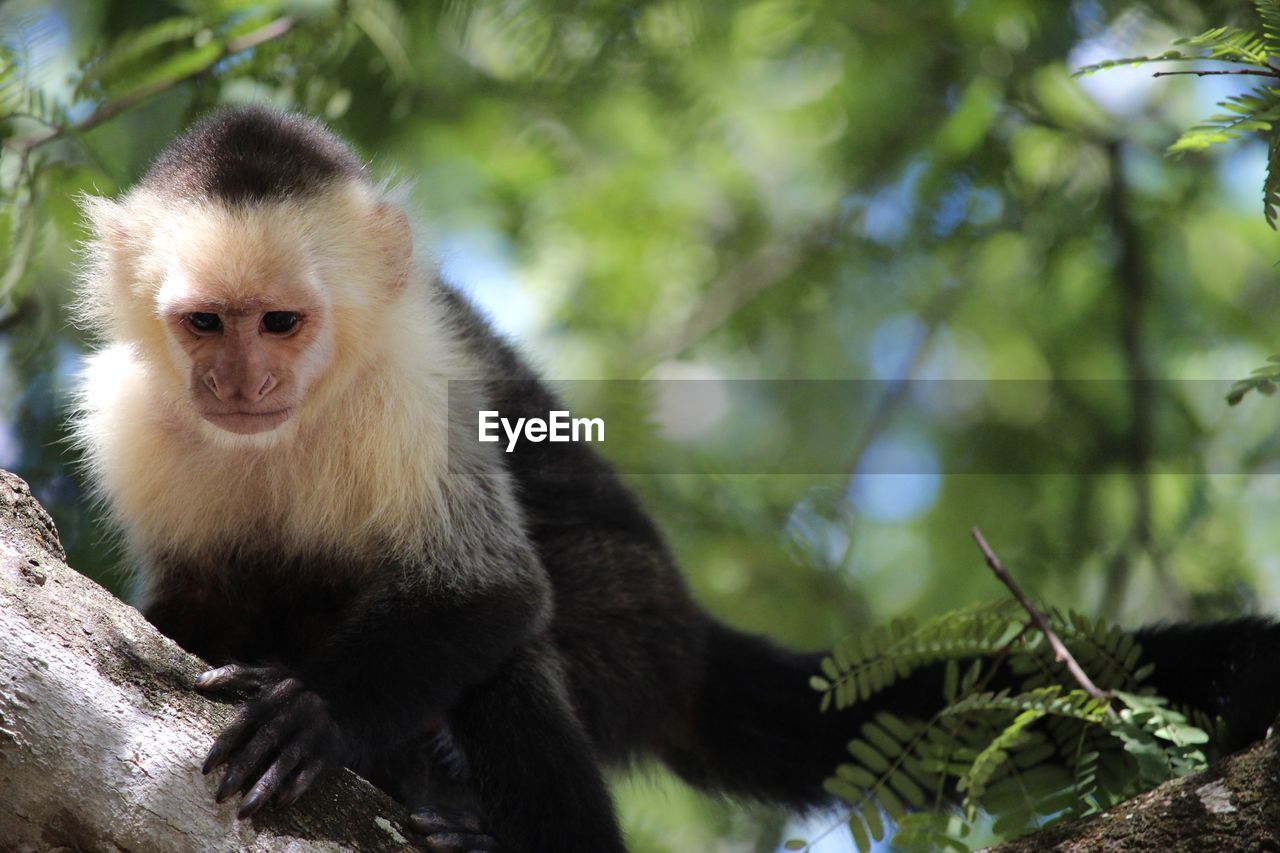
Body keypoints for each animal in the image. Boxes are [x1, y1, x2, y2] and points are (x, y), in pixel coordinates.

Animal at [72, 108, 1280, 850]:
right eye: (206, 324)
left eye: (282, 322)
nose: (243, 379)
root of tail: (687, 635)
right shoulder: (127, 421)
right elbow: (185, 604)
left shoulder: (411, 396)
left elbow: (490, 596)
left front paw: (311, 712)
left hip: (628, 631)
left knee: (517, 659)